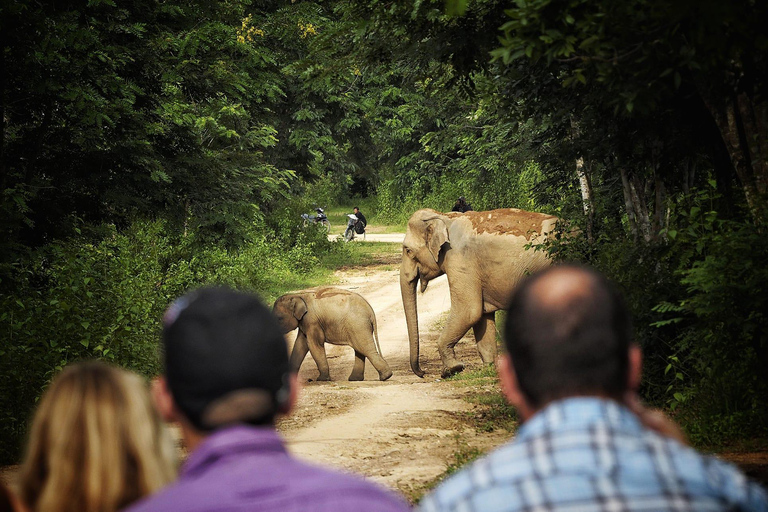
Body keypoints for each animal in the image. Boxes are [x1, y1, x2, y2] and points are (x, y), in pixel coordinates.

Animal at [400, 208, 559, 378]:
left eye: (408, 251)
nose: (423, 372)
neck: (444, 217)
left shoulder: (460, 260)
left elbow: (469, 311)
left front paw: (451, 370)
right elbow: (482, 315)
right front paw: (489, 367)